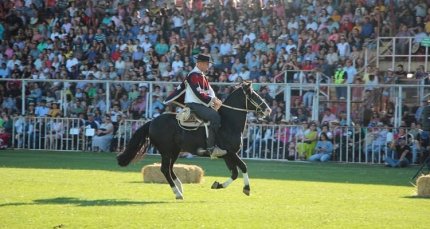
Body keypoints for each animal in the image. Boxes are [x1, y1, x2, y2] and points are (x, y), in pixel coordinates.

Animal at [116, 82, 272, 199]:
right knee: (165, 169)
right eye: (254, 95)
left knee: (170, 169)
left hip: (174, 151)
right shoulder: (231, 153)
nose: (268, 109)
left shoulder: (227, 155)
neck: (228, 123)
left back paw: (180, 188)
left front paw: (217, 185)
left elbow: (234, 173)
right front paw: (247, 188)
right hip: (166, 151)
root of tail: (152, 122)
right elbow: (244, 167)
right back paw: (178, 193)